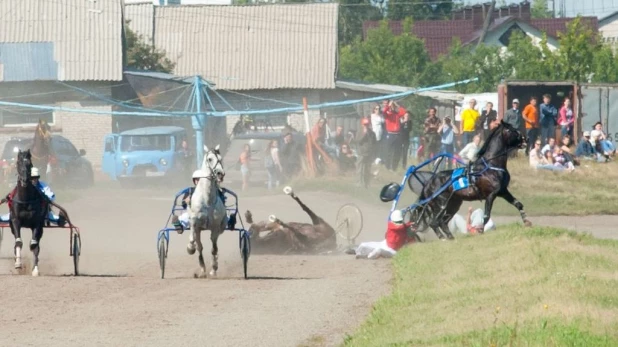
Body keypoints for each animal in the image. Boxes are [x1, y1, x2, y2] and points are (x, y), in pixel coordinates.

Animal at [6, 150, 49, 278]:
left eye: (29, 164)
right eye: (18, 163)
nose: (25, 180)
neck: (25, 199)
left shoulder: (37, 223)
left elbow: (34, 245)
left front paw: (35, 270)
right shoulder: (15, 221)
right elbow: (18, 242)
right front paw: (18, 264)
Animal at [188, 145, 229, 278]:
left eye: (220, 158)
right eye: (210, 159)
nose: (220, 173)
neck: (207, 201)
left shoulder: (215, 227)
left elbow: (214, 249)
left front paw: (214, 269)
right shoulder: (194, 223)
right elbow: (193, 241)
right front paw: (190, 248)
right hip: (198, 229)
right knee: (199, 246)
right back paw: (202, 269)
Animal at [380, 121, 528, 241]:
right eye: (512, 130)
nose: (525, 139)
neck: (490, 165)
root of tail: (429, 183)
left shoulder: (502, 191)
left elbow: (518, 204)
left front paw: (527, 222)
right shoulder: (490, 195)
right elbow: (486, 215)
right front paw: (480, 230)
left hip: (454, 203)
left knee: (442, 222)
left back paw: (450, 237)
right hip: (442, 203)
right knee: (434, 222)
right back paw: (443, 238)